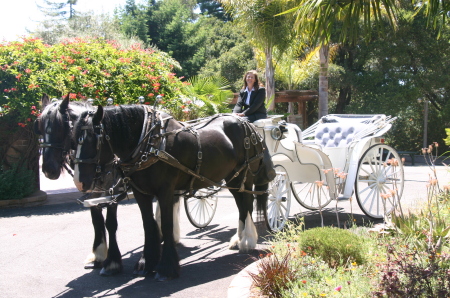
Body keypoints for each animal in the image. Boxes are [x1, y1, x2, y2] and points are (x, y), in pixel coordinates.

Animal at [71, 103, 274, 280]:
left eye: (93, 140)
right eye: (73, 141)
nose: (79, 182)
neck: (150, 143)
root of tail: (247, 124)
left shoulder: (166, 190)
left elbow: (167, 225)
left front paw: (166, 268)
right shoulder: (141, 193)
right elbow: (148, 225)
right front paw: (147, 263)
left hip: (244, 177)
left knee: (246, 205)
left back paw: (247, 241)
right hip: (232, 178)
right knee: (241, 205)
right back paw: (238, 239)